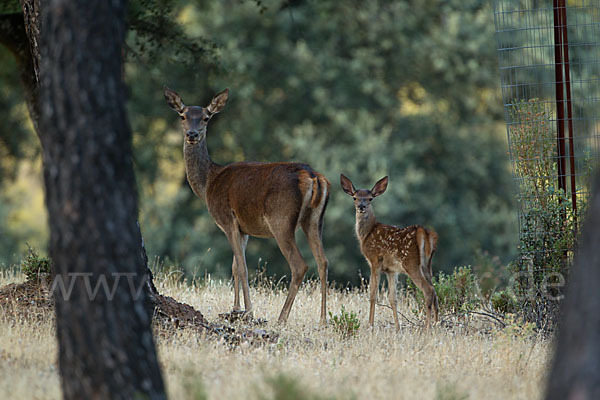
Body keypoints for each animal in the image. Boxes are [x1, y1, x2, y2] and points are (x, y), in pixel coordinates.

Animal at [166, 86, 330, 322]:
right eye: (183, 116)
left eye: (206, 117)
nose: (192, 135)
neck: (208, 183)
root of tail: (314, 177)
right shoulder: (244, 229)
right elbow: (235, 266)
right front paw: (235, 308)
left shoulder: (227, 220)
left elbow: (242, 267)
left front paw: (248, 311)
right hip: (315, 220)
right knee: (323, 261)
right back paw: (323, 319)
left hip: (281, 219)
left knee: (300, 265)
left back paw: (281, 318)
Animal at [342, 173, 436, 330]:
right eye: (354, 197)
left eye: (370, 198)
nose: (361, 207)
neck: (367, 234)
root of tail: (423, 232)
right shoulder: (392, 270)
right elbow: (393, 298)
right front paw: (398, 328)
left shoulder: (375, 260)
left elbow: (373, 293)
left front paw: (370, 325)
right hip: (427, 265)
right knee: (434, 289)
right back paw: (436, 323)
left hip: (410, 262)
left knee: (428, 290)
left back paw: (427, 328)